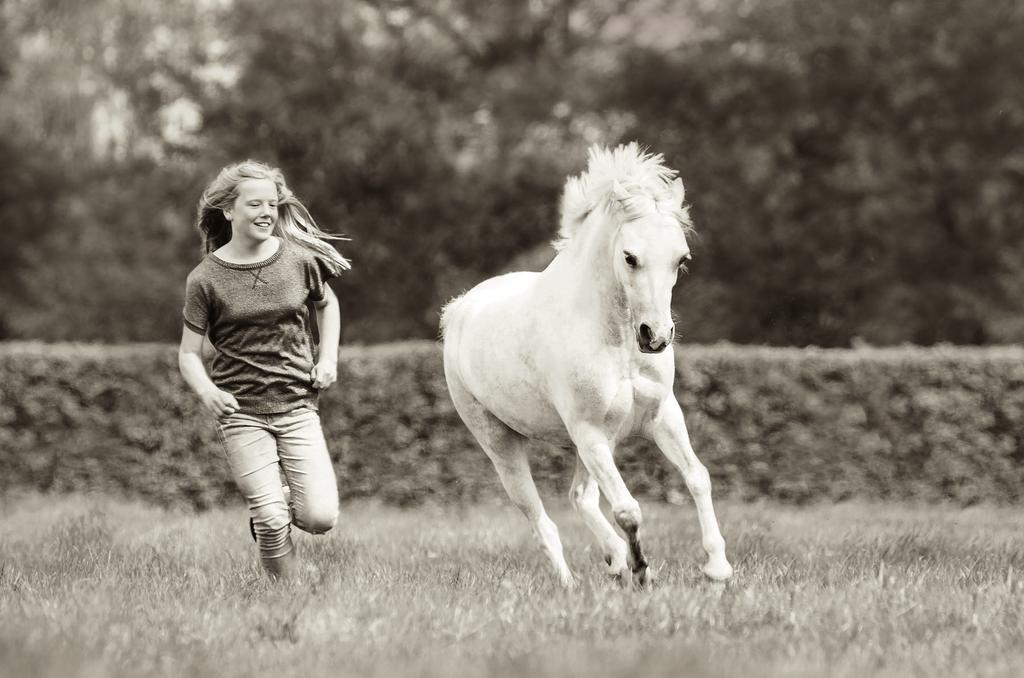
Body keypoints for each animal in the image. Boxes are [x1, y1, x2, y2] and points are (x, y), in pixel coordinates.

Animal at [444, 143, 733, 589]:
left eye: (681, 259)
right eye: (630, 257)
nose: (656, 336)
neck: (615, 341)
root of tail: (458, 309)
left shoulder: (661, 416)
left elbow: (697, 477)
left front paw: (718, 569)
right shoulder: (589, 432)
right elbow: (628, 509)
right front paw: (642, 571)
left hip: (594, 443)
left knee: (579, 497)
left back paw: (613, 560)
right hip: (502, 442)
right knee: (541, 519)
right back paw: (573, 582)